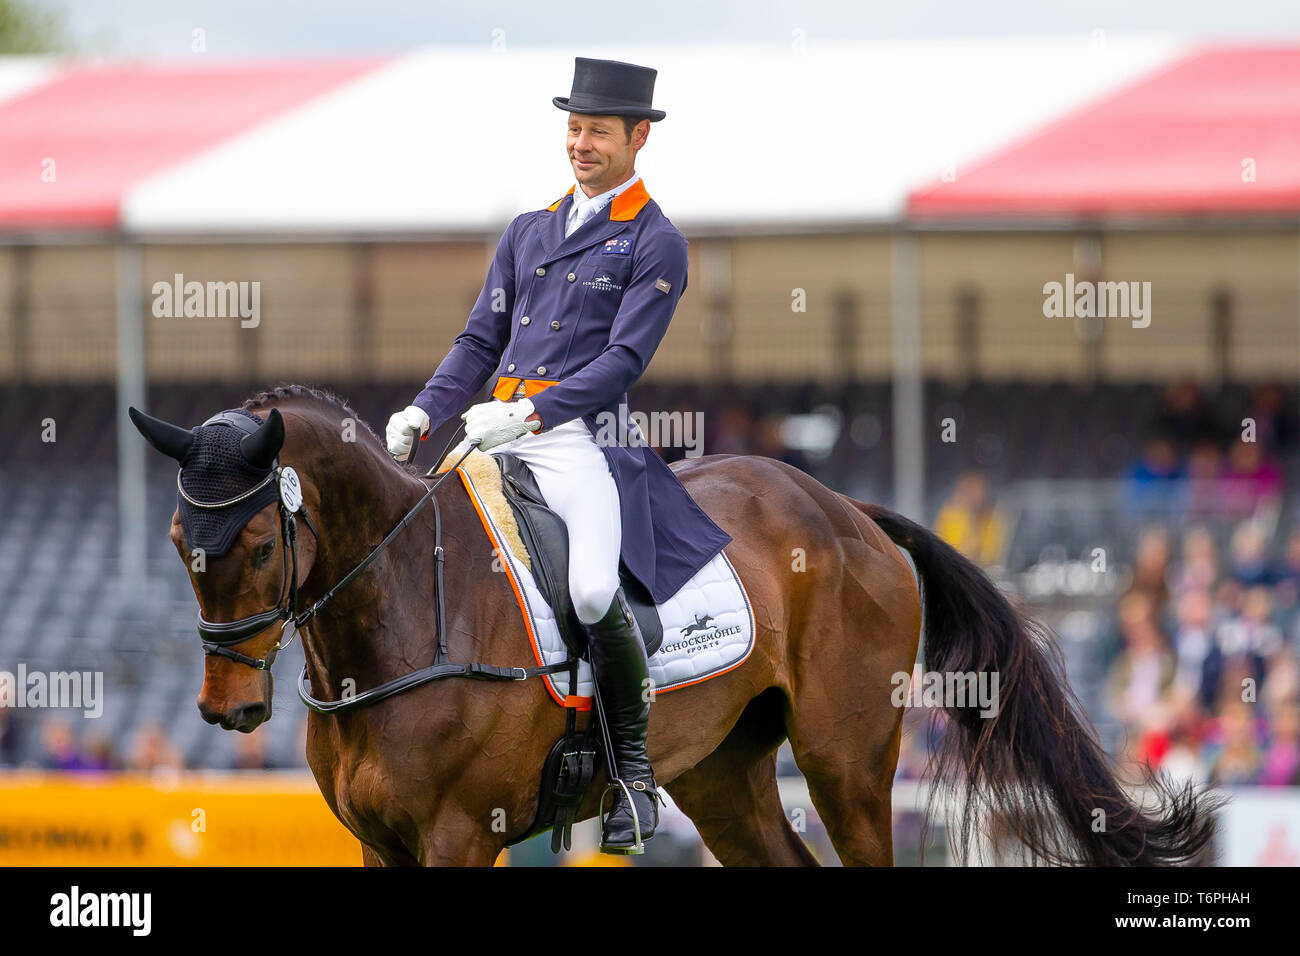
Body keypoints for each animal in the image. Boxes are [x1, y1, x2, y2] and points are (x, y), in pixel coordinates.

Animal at [130, 384, 1218, 866]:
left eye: (257, 547)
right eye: (180, 536)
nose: (226, 710)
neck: (400, 615)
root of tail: (847, 510)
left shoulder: (458, 836)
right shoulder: (380, 844)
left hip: (848, 762)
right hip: (723, 774)